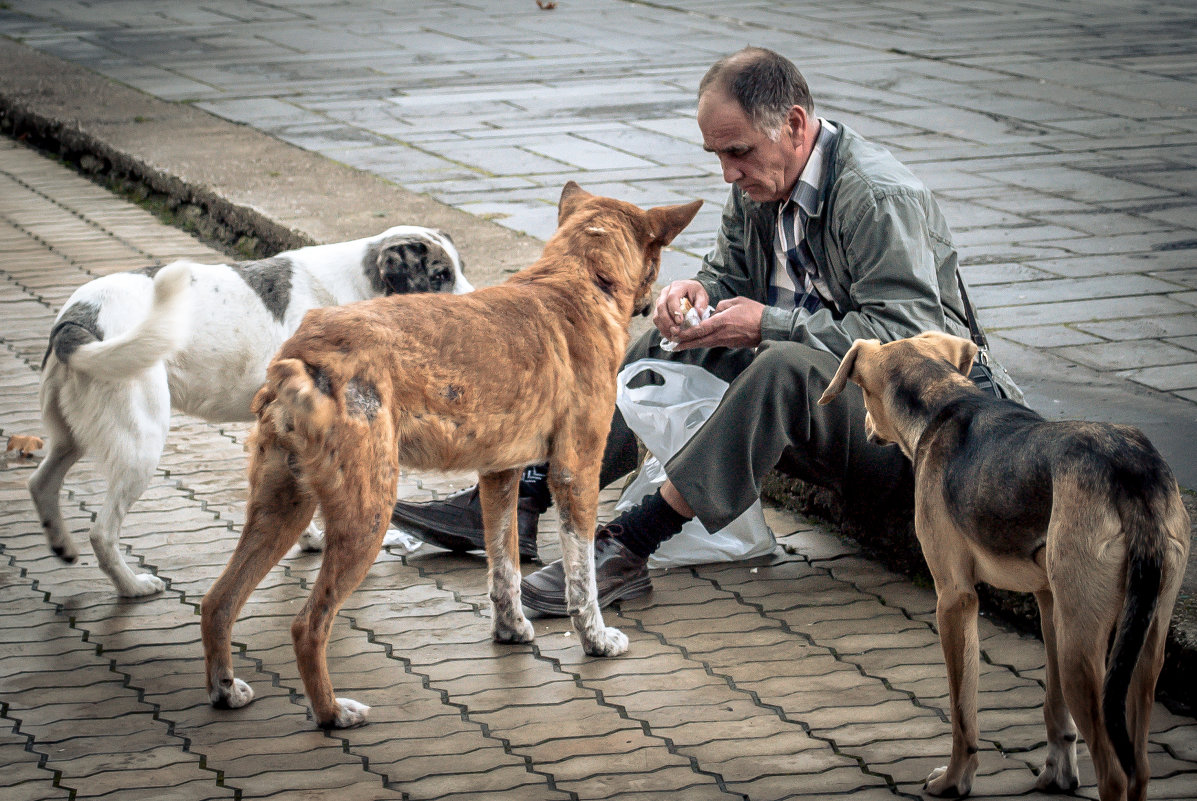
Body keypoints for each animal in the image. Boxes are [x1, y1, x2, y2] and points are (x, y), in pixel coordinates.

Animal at [26, 225, 466, 593]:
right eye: (439, 276)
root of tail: (76, 318)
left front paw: (309, 539)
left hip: (70, 438)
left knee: (39, 483)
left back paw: (61, 544)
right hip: (141, 444)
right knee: (101, 531)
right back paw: (132, 587)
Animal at [197, 183, 699, 732]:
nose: (661, 302)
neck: (578, 278)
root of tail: (304, 353)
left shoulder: (500, 474)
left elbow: (504, 566)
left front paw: (511, 629)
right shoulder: (576, 472)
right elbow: (581, 577)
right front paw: (596, 639)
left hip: (283, 506)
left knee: (218, 601)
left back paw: (225, 689)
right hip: (365, 514)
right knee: (308, 626)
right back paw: (332, 712)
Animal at [818, 330, 1192, 799]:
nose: (866, 428)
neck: (942, 399)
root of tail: (1129, 468)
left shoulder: (954, 599)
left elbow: (963, 711)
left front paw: (956, 779)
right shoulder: (1048, 602)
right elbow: (1054, 708)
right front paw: (1058, 773)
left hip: (1084, 650)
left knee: (1115, 773)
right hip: (1142, 644)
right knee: (1139, 768)